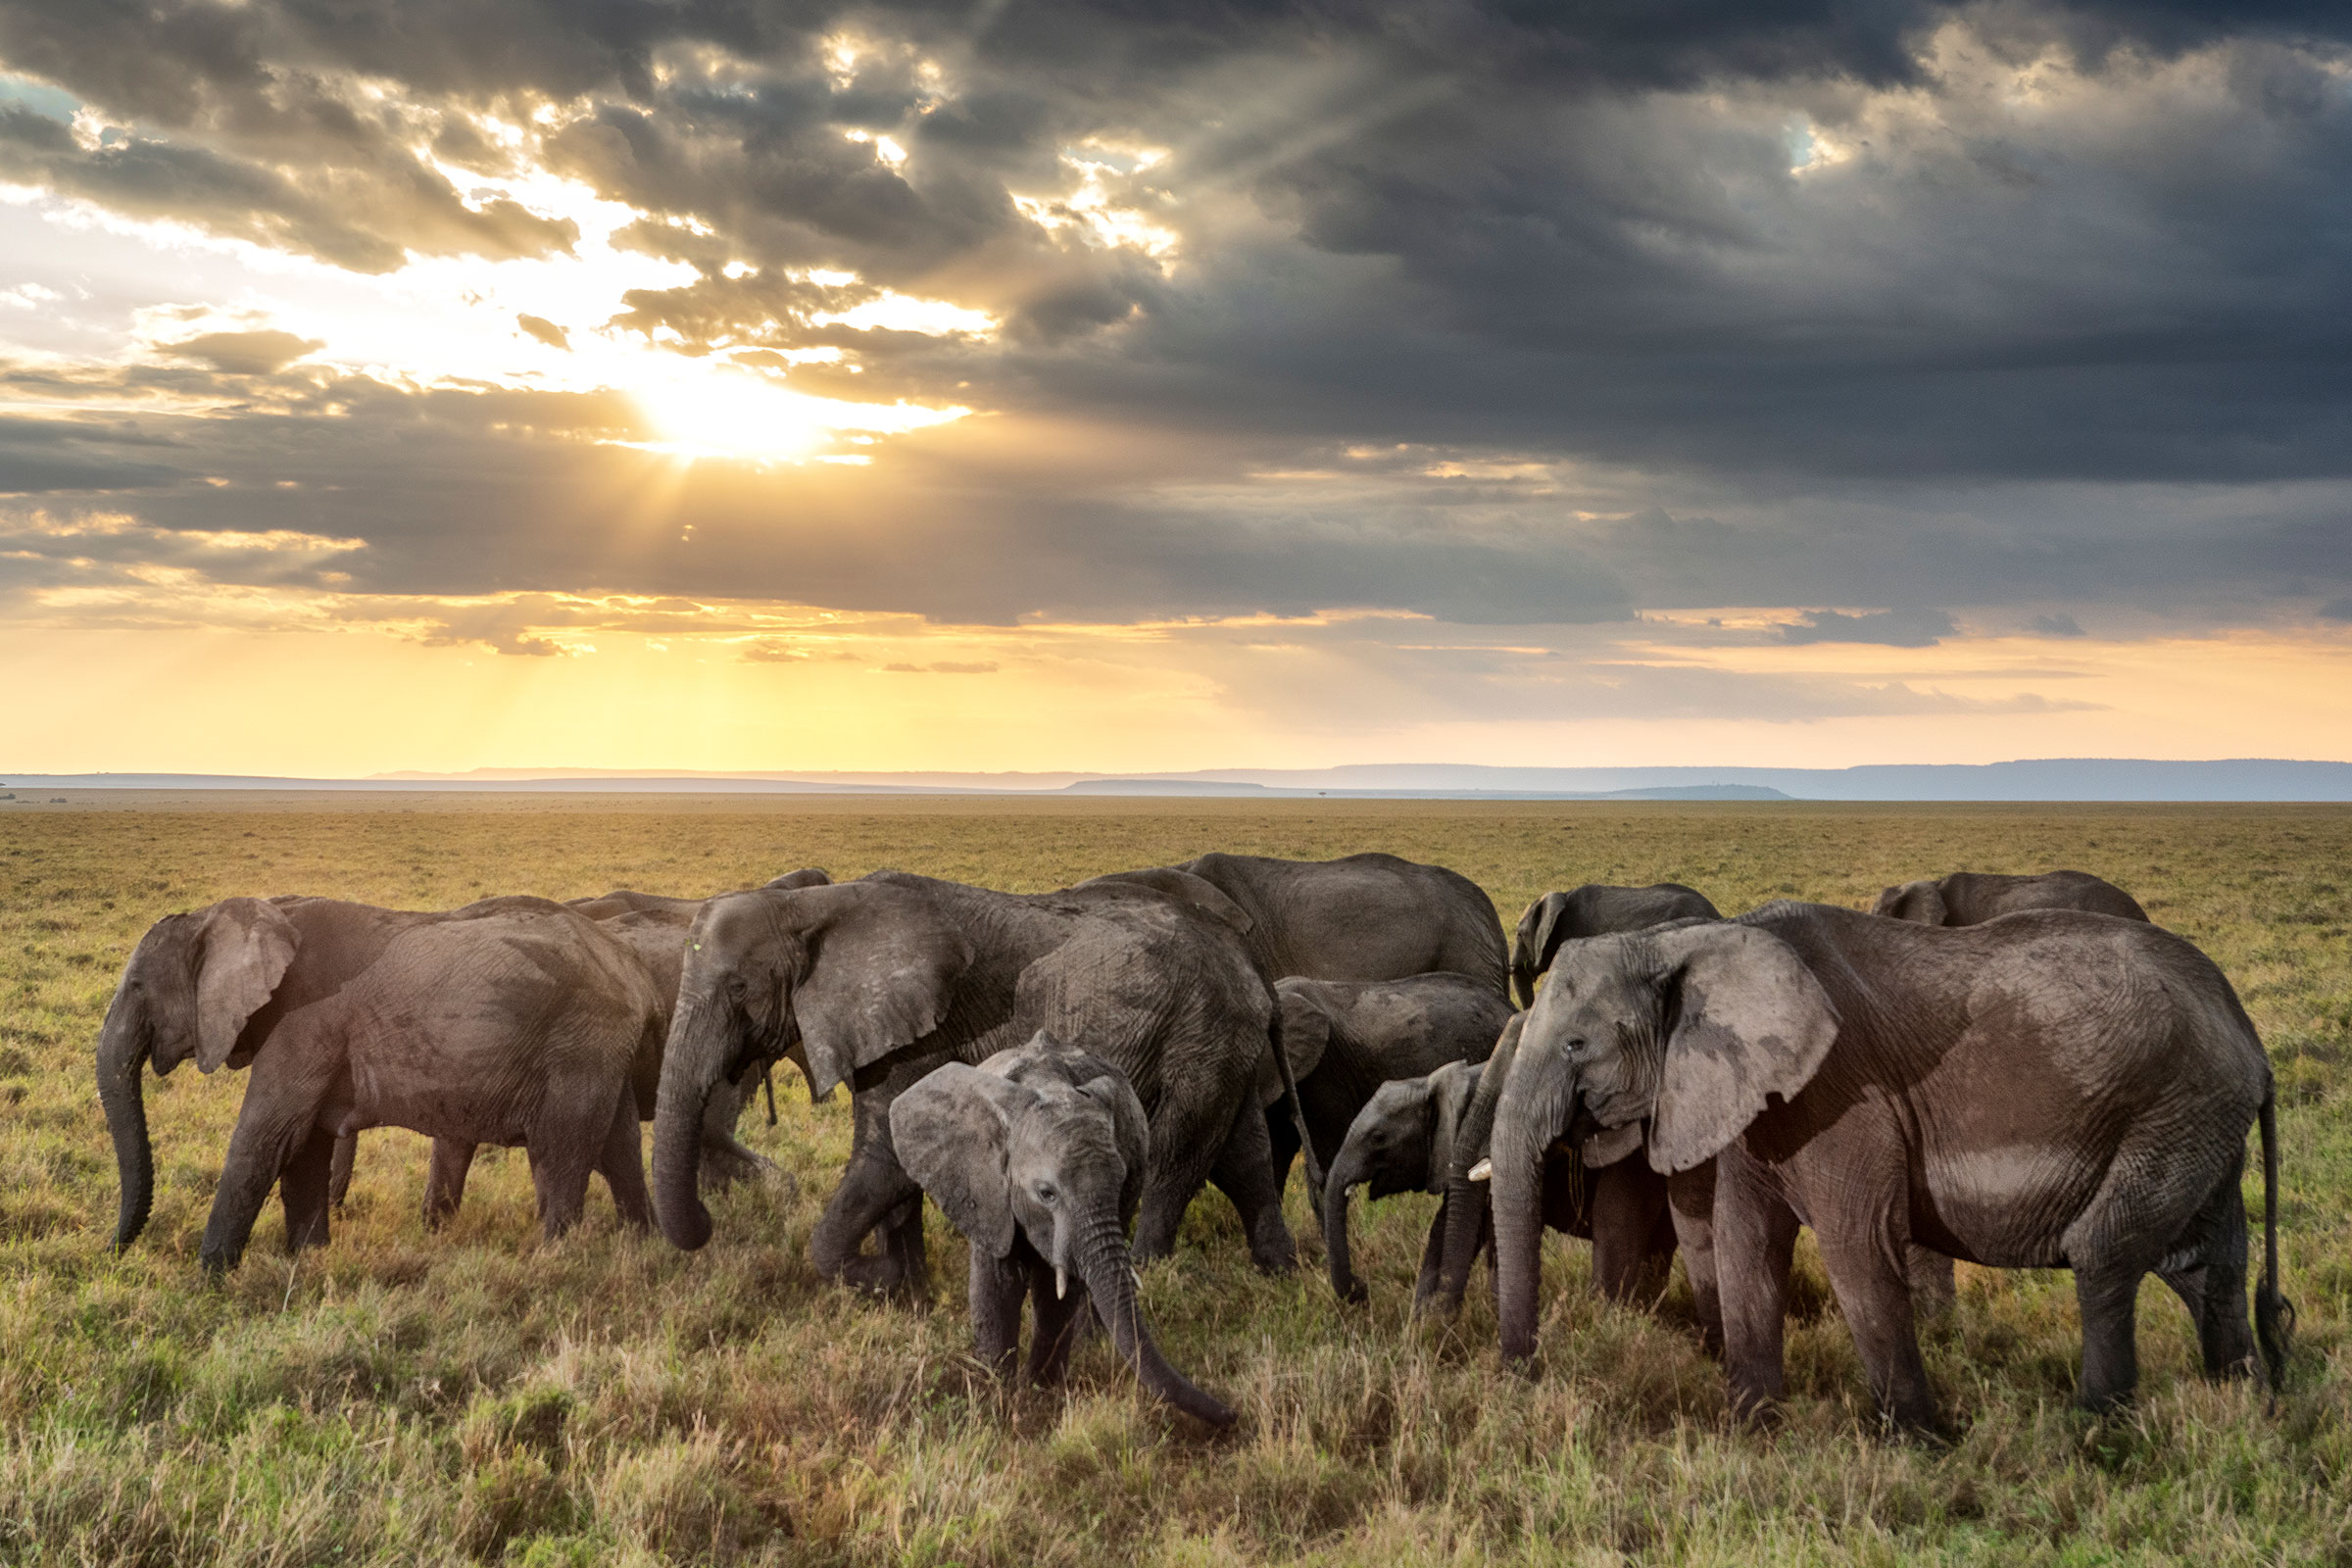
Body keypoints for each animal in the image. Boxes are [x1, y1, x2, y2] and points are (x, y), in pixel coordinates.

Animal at [98, 895, 663, 1273]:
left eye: (137, 986)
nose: (110, 1252)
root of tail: (634, 970)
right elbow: (305, 1148)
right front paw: (309, 1263)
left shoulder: (303, 1022)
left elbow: (266, 1139)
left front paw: (209, 1279)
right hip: (600, 1049)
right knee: (618, 1149)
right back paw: (644, 1250)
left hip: (577, 1044)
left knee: (561, 1152)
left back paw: (554, 1264)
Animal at [651, 871, 1297, 1298]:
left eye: (738, 989)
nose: (709, 1219)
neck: (809, 906)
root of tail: (1252, 966)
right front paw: (907, 1290)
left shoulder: (924, 1031)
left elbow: (886, 1154)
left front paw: (881, 1279)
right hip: (1220, 1043)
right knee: (1244, 1154)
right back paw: (1281, 1274)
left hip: (1200, 1034)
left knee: (1174, 1157)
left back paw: (1149, 1276)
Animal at [891, 1031, 1236, 1426]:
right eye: (1047, 1193)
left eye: (1120, 1182)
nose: (1233, 1412)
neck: (1048, 1086)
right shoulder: (984, 1190)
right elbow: (997, 1284)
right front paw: (997, 1396)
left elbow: (1059, 1293)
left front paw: (1040, 1395)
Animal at [1487, 900, 2289, 1434]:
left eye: (1576, 1046)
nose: (1522, 1378)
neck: (1685, 942)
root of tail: (2246, 1030)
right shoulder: (1759, 1096)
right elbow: (1747, 1244)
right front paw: (1752, 1434)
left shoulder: (1839, 1094)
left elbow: (1857, 1249)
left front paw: (1922, 1445)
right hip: (2196, 1121)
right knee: (2206, 1262)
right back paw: (2248, 1407)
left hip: (2173, 1105)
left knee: (2105, 1251)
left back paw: (2091, 1434)